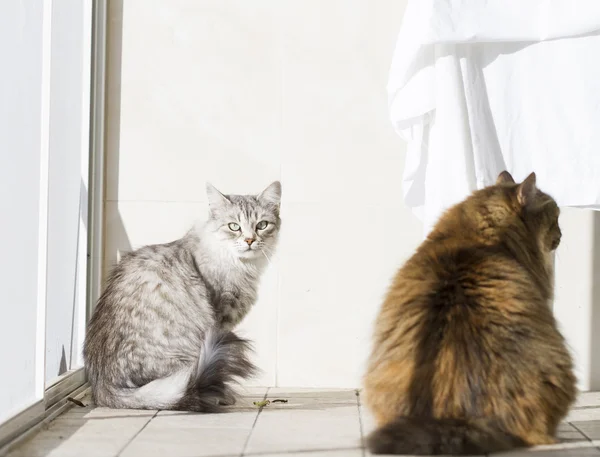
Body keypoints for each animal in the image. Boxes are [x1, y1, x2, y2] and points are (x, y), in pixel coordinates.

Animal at [83, 181, 282, 410]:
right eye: (234, 226)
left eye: (262, 225)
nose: (250, 240)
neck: (241, 265)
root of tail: (102, 387)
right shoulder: (221, 317)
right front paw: (225, 396)